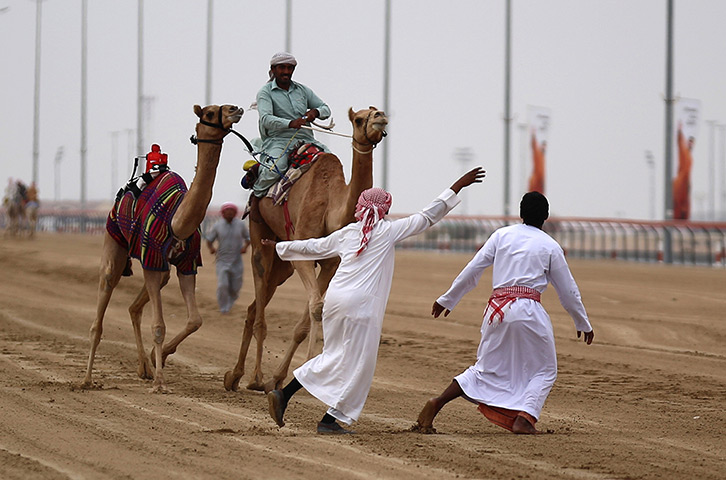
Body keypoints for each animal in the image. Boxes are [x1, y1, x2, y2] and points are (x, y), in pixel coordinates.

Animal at [81, 103, 243, 392]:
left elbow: (195, 320)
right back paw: (88, 379)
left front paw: (161, 360)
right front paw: (159, 381)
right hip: (115, 239)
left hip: (160, 269)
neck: (177, 222)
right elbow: (158, 325)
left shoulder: (187, 264)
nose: (235, 109)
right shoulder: (152, 257)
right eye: (210, 113)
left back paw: (143, 366)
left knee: (134, 308)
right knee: (103, 301)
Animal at [225, 106, 390, 394]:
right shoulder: (302, 252)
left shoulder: (330, 262)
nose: (380, 116)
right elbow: (316, 307)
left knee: (254, 306)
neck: (332, 208)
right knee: (259, 302)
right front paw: (299, 372)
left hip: (282, 266)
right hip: (258, 229)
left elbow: (308, 318)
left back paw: (235, 376)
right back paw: (253, 377)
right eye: (359, 119)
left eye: (375, 111)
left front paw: (279, 378)